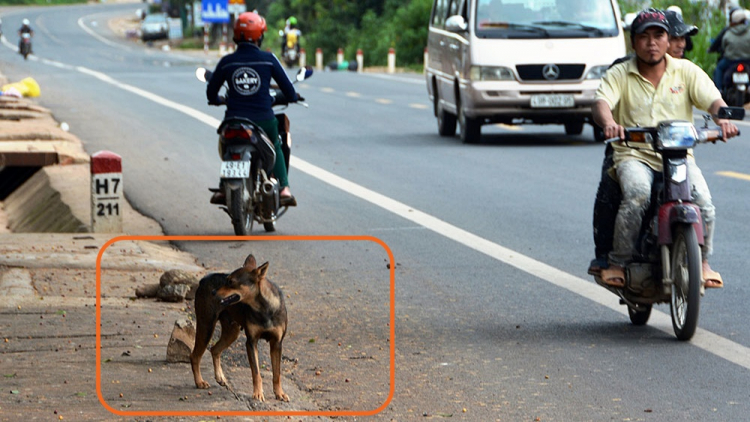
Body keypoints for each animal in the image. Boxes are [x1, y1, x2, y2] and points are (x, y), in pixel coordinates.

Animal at [191, 254, 290, 402]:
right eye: (226, 280)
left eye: (231, 282)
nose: (213, 292)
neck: (264, 308)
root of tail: (203, 280)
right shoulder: (251, 342)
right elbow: (256, 372)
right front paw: (258, 393)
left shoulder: (277, 343)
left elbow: (277, 374)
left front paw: (279, 393)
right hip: (206, 326)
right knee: (195, 356)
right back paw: (199, 382)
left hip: (232, 332)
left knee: (214, 349)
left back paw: (220, 377)